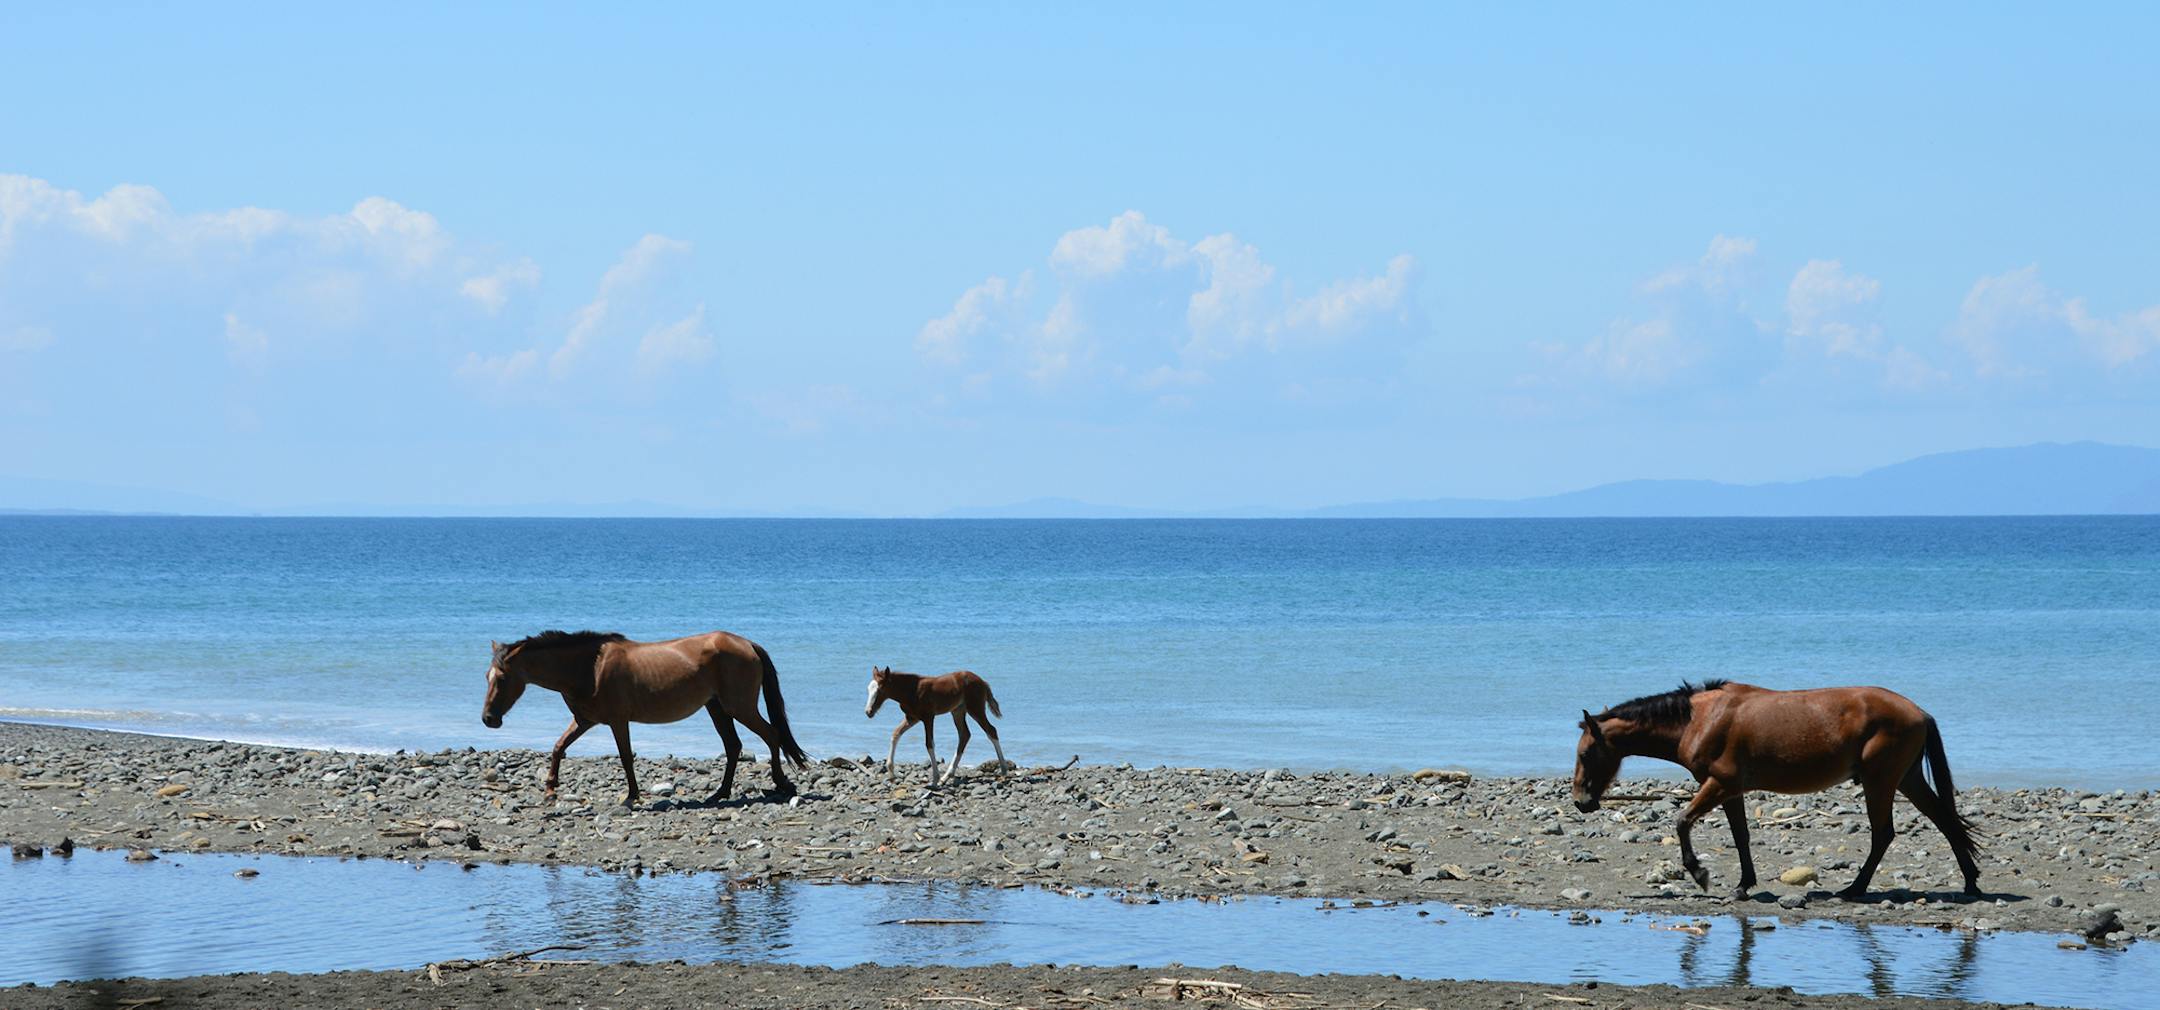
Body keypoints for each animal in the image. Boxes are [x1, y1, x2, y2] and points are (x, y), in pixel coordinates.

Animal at [481, 629, 808, 806]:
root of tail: (747, 644)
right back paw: (720, 793)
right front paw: (550, 791)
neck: (590, 668)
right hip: (717, 708)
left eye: (502, 678)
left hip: (738, 707)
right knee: (733, 746)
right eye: (487, 676)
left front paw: (631, 796)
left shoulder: (617, 720)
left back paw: (782, 784)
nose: (488, 719)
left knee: (771, 735)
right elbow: (558, 747)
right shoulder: (585, 720)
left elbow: (626, 756)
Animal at [864, 666, 1006, 786]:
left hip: (975, 709)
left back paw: (1004, 769)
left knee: (991, 730)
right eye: (869, 689)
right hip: (958, 711)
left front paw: (935, 779)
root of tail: (982, 681)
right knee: (964, 734)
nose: (868, 712)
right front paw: (891, 774)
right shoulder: (912, 718)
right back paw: (947, 776)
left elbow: (929, 744)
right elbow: (895, 734)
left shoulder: (928, 717)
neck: (911, 690)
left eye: (880, 690)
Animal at [1571, 679, 1981, 901]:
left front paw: (1700, 873)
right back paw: (1970, 881)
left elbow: (1682, 821)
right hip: (1907, 779)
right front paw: (1743, 885)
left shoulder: (1718, 785)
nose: (1581, 802)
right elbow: (1741, 837)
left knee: (1884, 834)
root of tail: (1919, 712)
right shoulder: (1730, 790)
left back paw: (1854, 888)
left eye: (1586, 752)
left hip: (1880, 781)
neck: (1700, 719)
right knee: (1945, 821)